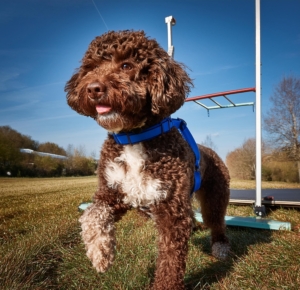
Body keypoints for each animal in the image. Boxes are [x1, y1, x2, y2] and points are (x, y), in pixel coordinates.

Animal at [65, 30, 230, 290]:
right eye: (91, 67)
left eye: (126, 65)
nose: (93, 88)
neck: (134, 137)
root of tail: (212, 152)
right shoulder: (113, 194)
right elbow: (92, 213)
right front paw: (99, 250)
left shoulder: (172, 213)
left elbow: (170, 265)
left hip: (216, 195)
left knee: (217, 221)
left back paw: (221, 245)